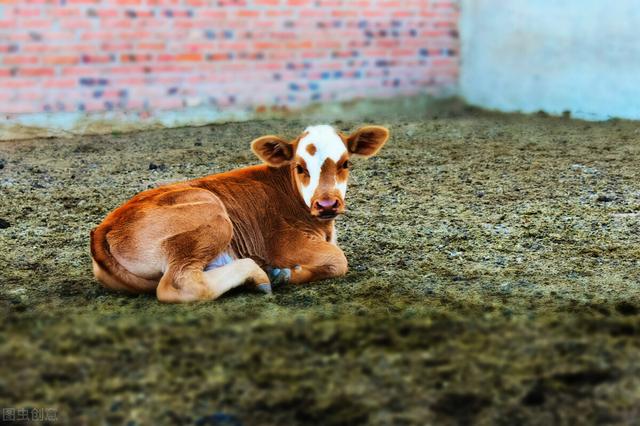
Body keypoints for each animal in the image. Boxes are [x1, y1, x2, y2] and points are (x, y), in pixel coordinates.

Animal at [90, 124, 390, 302]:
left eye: (346, 163)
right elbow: (338, 260)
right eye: (300, 167)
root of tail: (105, 226)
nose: (327, 205)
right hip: (213, 216)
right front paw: (285, 274)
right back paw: (260, 276)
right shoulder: (283, 243)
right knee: (179, 284)